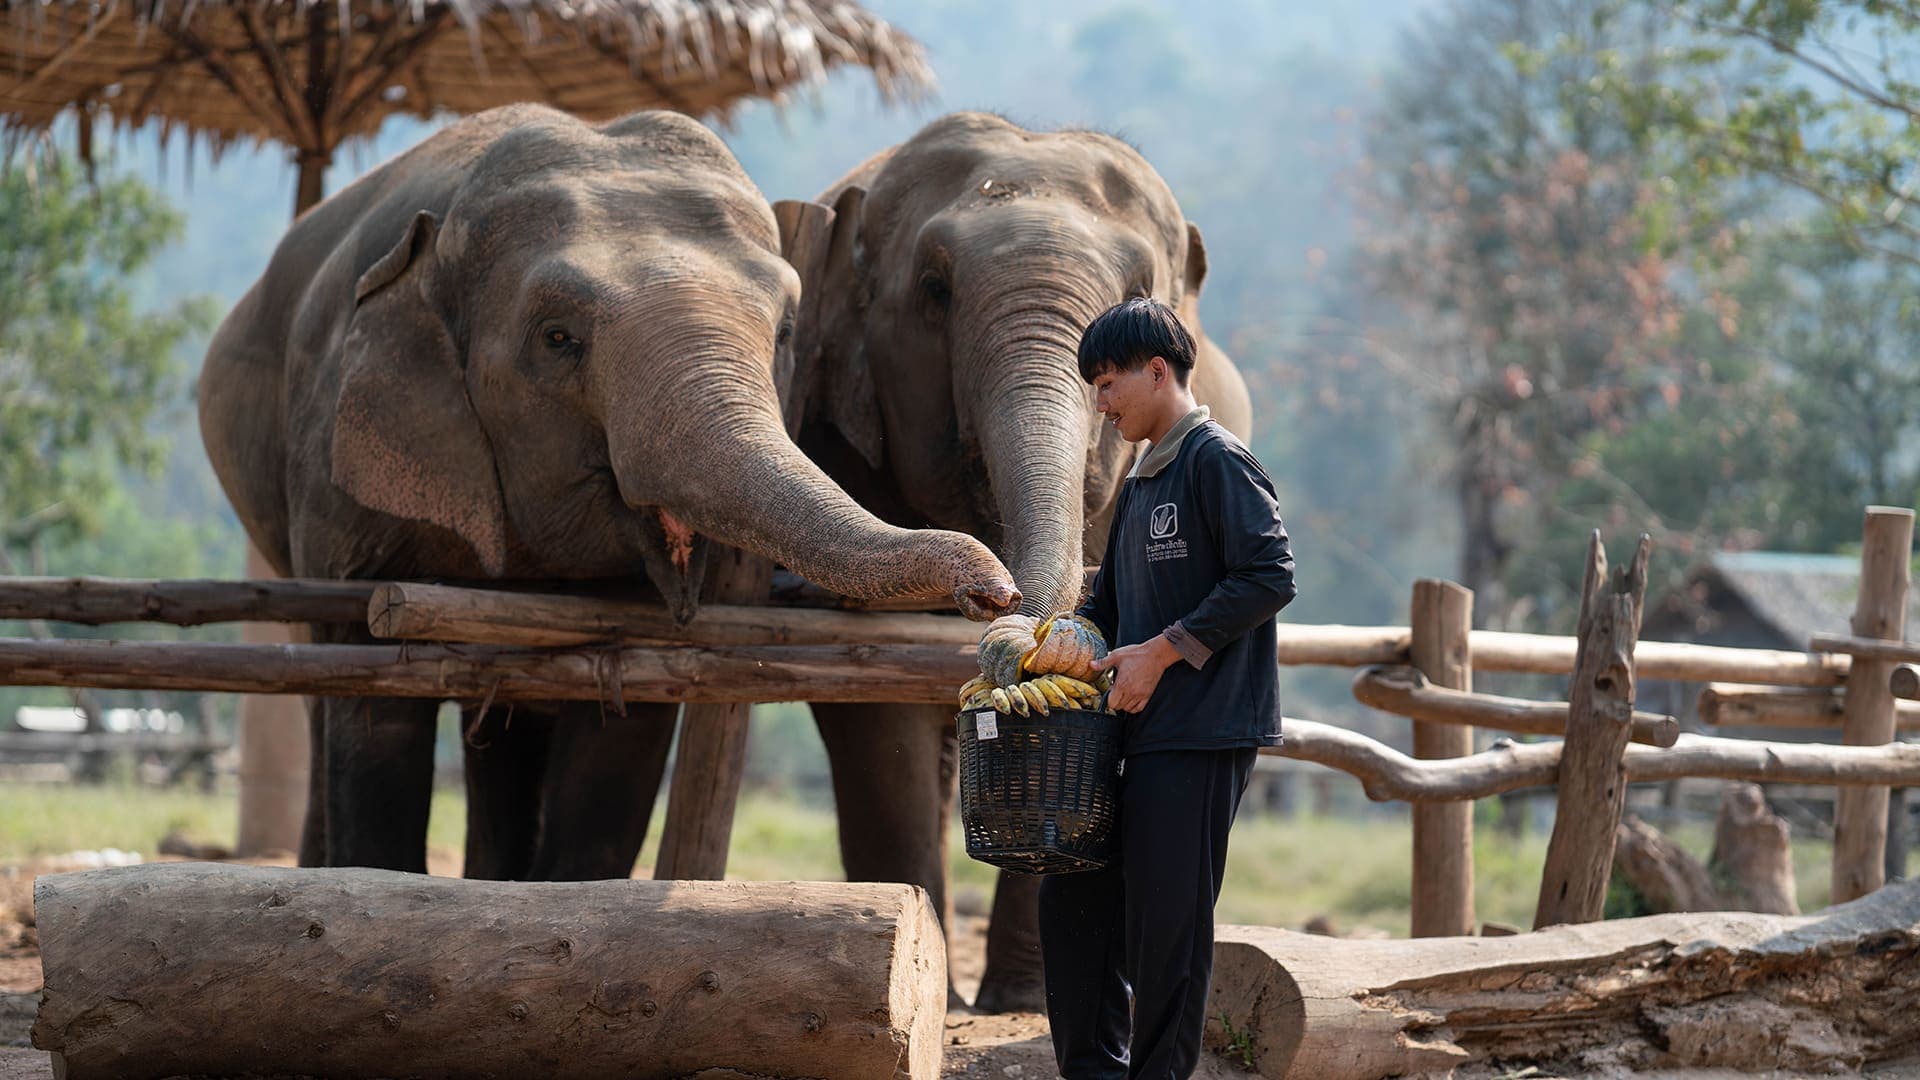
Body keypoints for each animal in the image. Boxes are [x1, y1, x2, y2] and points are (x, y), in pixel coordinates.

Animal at [198, 104, 1019, 881]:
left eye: (787, 331)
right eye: (557, 338)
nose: (997, 592)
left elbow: (627, 718)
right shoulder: (346, 475)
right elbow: (375, 691)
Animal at [783, 112, 1254, 1011]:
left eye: (1139, 285)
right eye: (934, 289)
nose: (993, 596)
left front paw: (1021, 1001)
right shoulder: (837, 439)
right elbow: (871, 693)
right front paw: (924, 969)